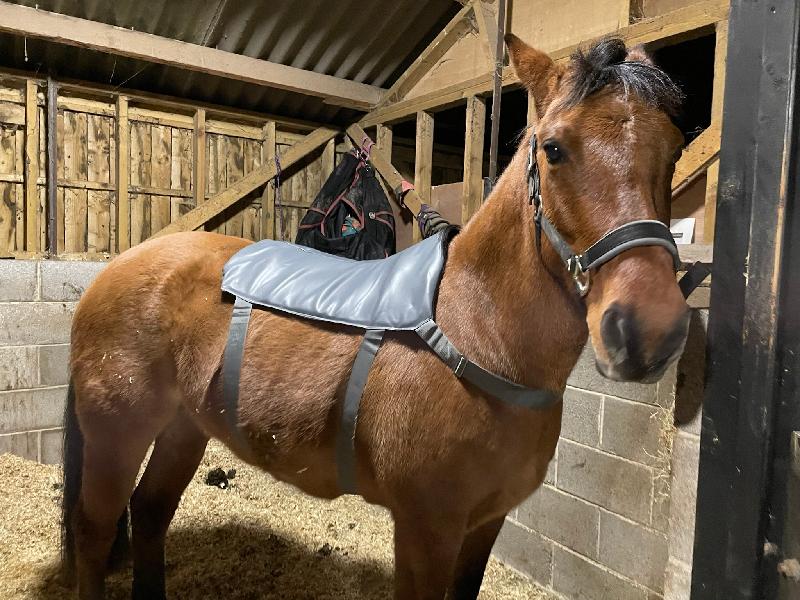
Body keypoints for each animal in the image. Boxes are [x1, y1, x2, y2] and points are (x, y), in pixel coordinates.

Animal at [61, 33, 689, 600]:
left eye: (676, 147)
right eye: (554, 148)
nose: (648, 328)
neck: (478, 335)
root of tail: (116, 270)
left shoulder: (485, 524)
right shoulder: (426, 528)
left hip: (183, 429)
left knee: (149, 515)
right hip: (118, 435)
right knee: (94, 534)